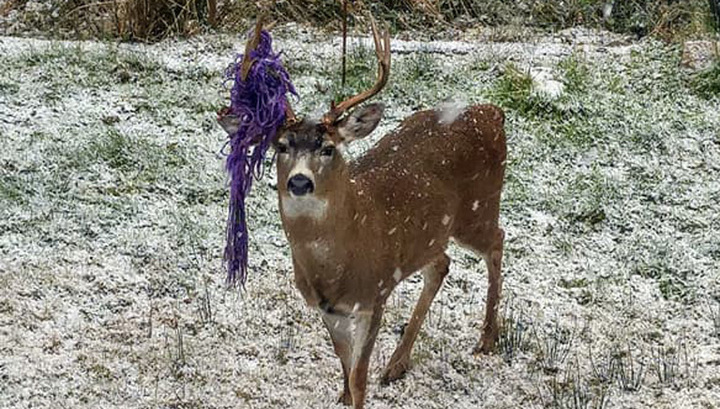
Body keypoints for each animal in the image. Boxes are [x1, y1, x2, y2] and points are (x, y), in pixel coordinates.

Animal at [218, 15, 506, 408]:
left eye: (327, 148)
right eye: (281, 146)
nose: (299, 182)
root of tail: (493, 112)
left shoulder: (375, 294)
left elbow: (359, 376)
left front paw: (354, 393)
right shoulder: (328, 307)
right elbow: (344, 361)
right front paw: (341, 394)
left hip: (479, 208)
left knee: (497, 242)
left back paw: (487, 339)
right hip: (431, 233)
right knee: (441, 264)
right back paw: (397, 363)